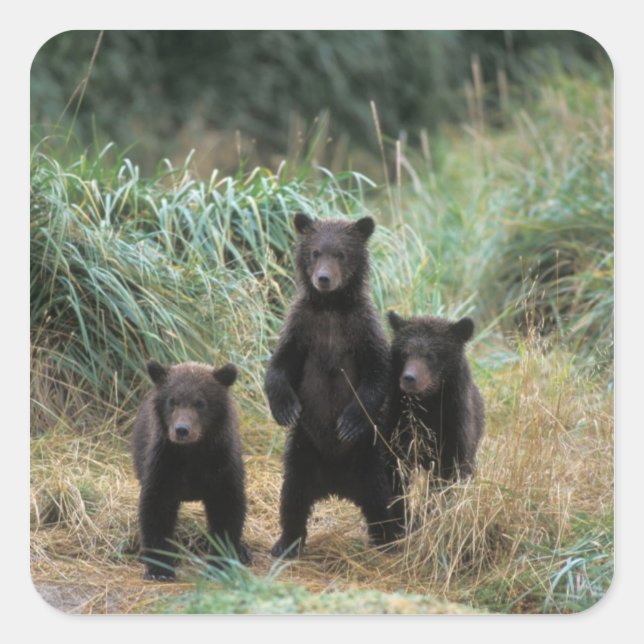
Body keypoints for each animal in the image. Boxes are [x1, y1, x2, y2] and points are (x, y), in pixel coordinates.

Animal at [132, 360, 249, 580]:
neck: (192, 453)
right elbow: (156, 509)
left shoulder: (221, 465)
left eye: (200, 402)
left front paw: (220, 563)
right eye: (173, 401)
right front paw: (160, 568)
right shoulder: (165, 463)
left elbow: (226, 508)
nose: (182, 430)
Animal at [264, 213, 396, 557]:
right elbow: (280, 365)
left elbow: (378, 373)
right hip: (303, 450)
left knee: (382, 498)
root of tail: (337, 485)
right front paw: (285, 408)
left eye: (340, 254)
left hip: (369, 456)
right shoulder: (302, 327)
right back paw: (285, 543)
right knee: (293, 496)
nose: (323, 278)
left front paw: (349, 421)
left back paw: (390, 540)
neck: (331, 306)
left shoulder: (361, 329)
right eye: (315, 252)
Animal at [384, 312, 485, 529]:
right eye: (404, 353)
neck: (428, 404)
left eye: (431, 355)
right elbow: (395, 470)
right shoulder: (398, 425)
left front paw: (434, 511)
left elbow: (451, 472)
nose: (409, 378)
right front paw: (404, 517)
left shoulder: (454, 424)